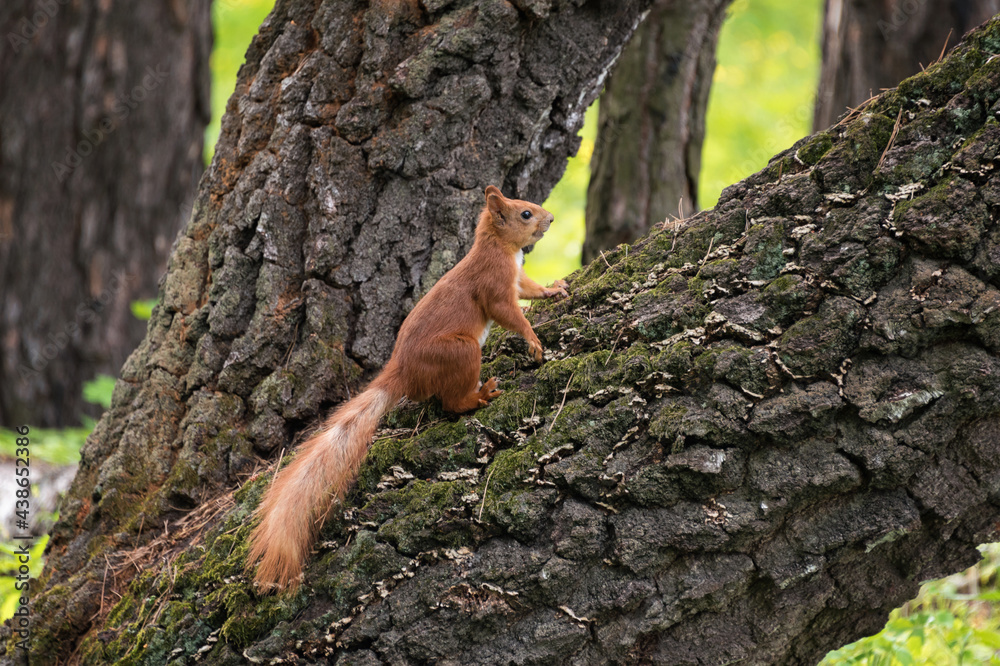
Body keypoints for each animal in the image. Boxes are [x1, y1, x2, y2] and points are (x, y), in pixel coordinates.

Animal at [247, 185, 569, 590]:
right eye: (525, 213)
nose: (551, 219)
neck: (498, 247)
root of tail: (402, 373)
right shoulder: (494, 283)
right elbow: (507, 312)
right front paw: (533, 340)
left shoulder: (517, 278)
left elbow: (531, 289)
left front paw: (555, 289)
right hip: (461, 351)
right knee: (452, 402)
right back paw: (479, 396)